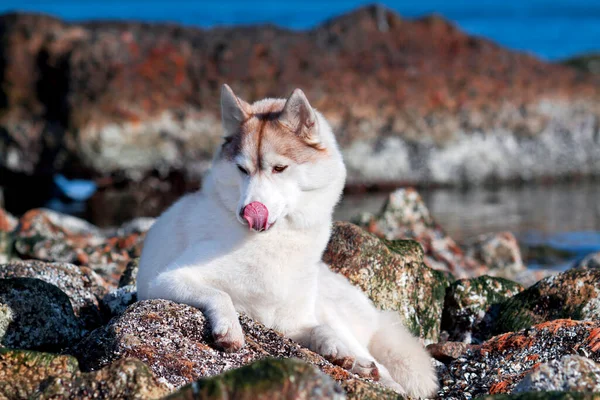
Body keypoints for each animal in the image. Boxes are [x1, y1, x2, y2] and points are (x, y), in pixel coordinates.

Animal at [139, 84, 440, 396]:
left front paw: (337, 350)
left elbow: (318, 329)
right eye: (242, 170)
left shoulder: (293, 322)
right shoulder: (165, 281)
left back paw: (364, 365)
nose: (248, 212)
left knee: (370, 357)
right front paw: (230, 328)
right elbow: (220, 294)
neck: (274, 242)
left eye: (279, 168)